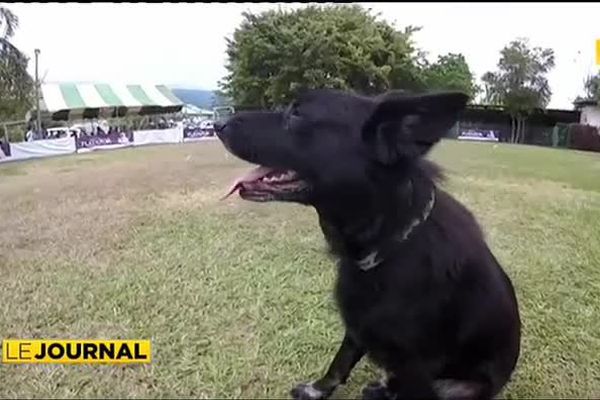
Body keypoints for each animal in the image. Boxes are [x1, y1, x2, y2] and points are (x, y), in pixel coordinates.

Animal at [216, 90, 520, 400]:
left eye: (298, 113)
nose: (217, 124)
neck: (392, 240)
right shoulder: (357, 324)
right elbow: (340, 362)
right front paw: (318, 390)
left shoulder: (416, 367)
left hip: (457, 387)